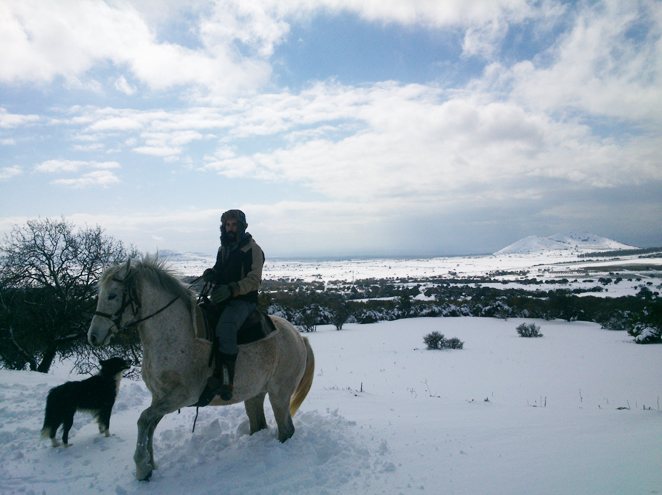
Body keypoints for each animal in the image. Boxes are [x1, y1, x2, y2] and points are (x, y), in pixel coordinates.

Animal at [89, 258, 316, 482]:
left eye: (112, 295)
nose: (93, 336)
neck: (175, 336)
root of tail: (298, 337)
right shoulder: (160, 397)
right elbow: (149, 424)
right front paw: (149, 466)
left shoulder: (183, 396)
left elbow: (143, 419)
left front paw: (141, 467)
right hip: (255, 394)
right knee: (259, 424)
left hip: (279, 394)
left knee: (286, 429)